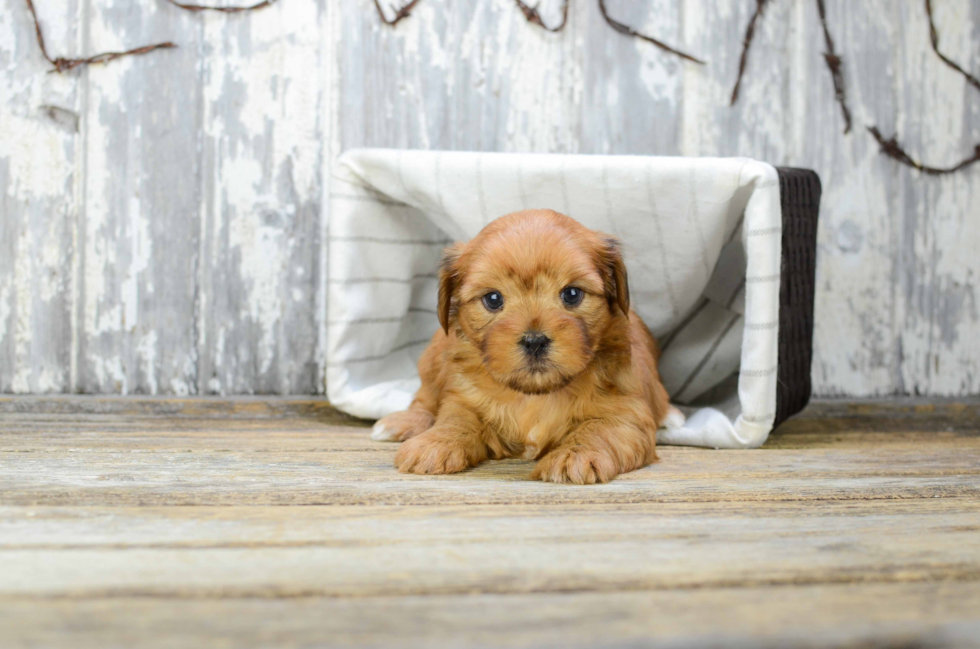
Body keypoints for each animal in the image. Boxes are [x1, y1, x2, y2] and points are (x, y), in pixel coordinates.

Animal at [370, 208, 680, 480]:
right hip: (436, 351)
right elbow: (456, 418)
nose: (534, 341)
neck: (535, 394)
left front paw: (574, 456)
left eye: (572, 294)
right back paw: (403, 423)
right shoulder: (463, 398)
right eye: (493, 299)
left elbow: (599, 430)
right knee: (425, 399)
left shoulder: (626, 412)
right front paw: (434, 444)